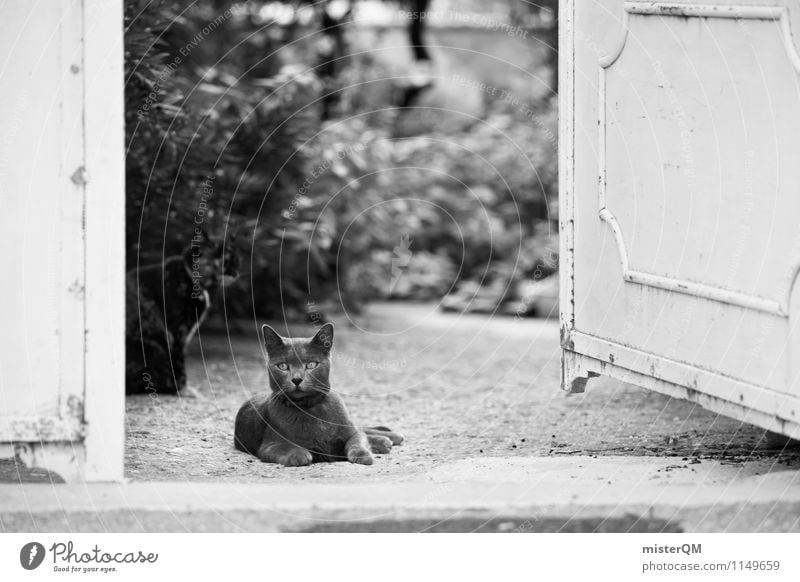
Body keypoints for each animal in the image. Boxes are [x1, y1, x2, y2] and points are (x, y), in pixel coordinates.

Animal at [234, 324, 404, 470]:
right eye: (282, 366)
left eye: (311, 365)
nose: (297, 379)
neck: (310, 408)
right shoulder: (268, 445)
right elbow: (285, 447)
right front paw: (299, 454)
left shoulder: (350, 432)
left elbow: (356, 439)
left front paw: (363, 455)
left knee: (362, 429)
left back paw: (389, 437)